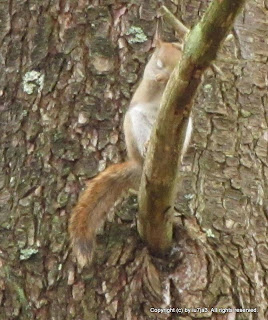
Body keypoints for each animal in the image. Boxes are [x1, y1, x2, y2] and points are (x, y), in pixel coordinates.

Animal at [68, 40, 192, 266]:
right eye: (158, 63)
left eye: (179, 60)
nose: (166, 75)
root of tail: (139, 166)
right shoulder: (148, 88)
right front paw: (159, 80)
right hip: (135, 122)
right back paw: (146, 148)